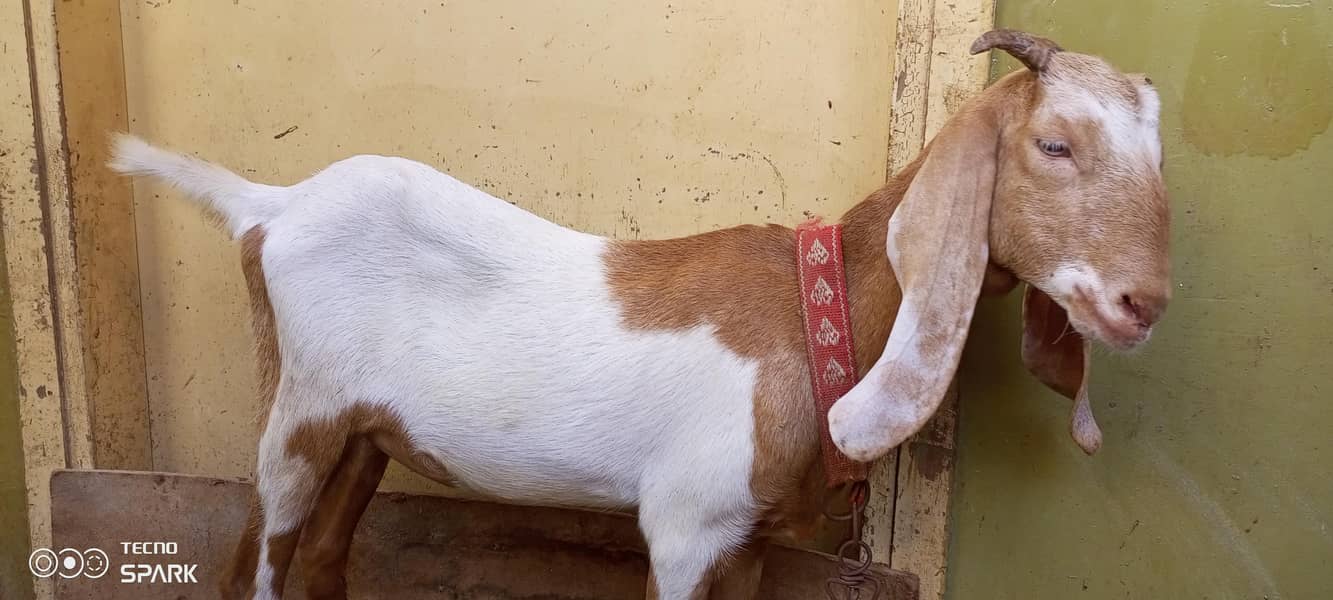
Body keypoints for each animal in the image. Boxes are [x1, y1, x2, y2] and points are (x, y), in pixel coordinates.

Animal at [110, 29, 1169, 600]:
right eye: (1053, 143)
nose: (1142, 304)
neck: (811, 312)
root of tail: (273, 205)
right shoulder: (686, 525)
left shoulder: (746, 540)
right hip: (298, 413)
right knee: (256, 561)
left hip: (367, 431)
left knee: (327, 560)